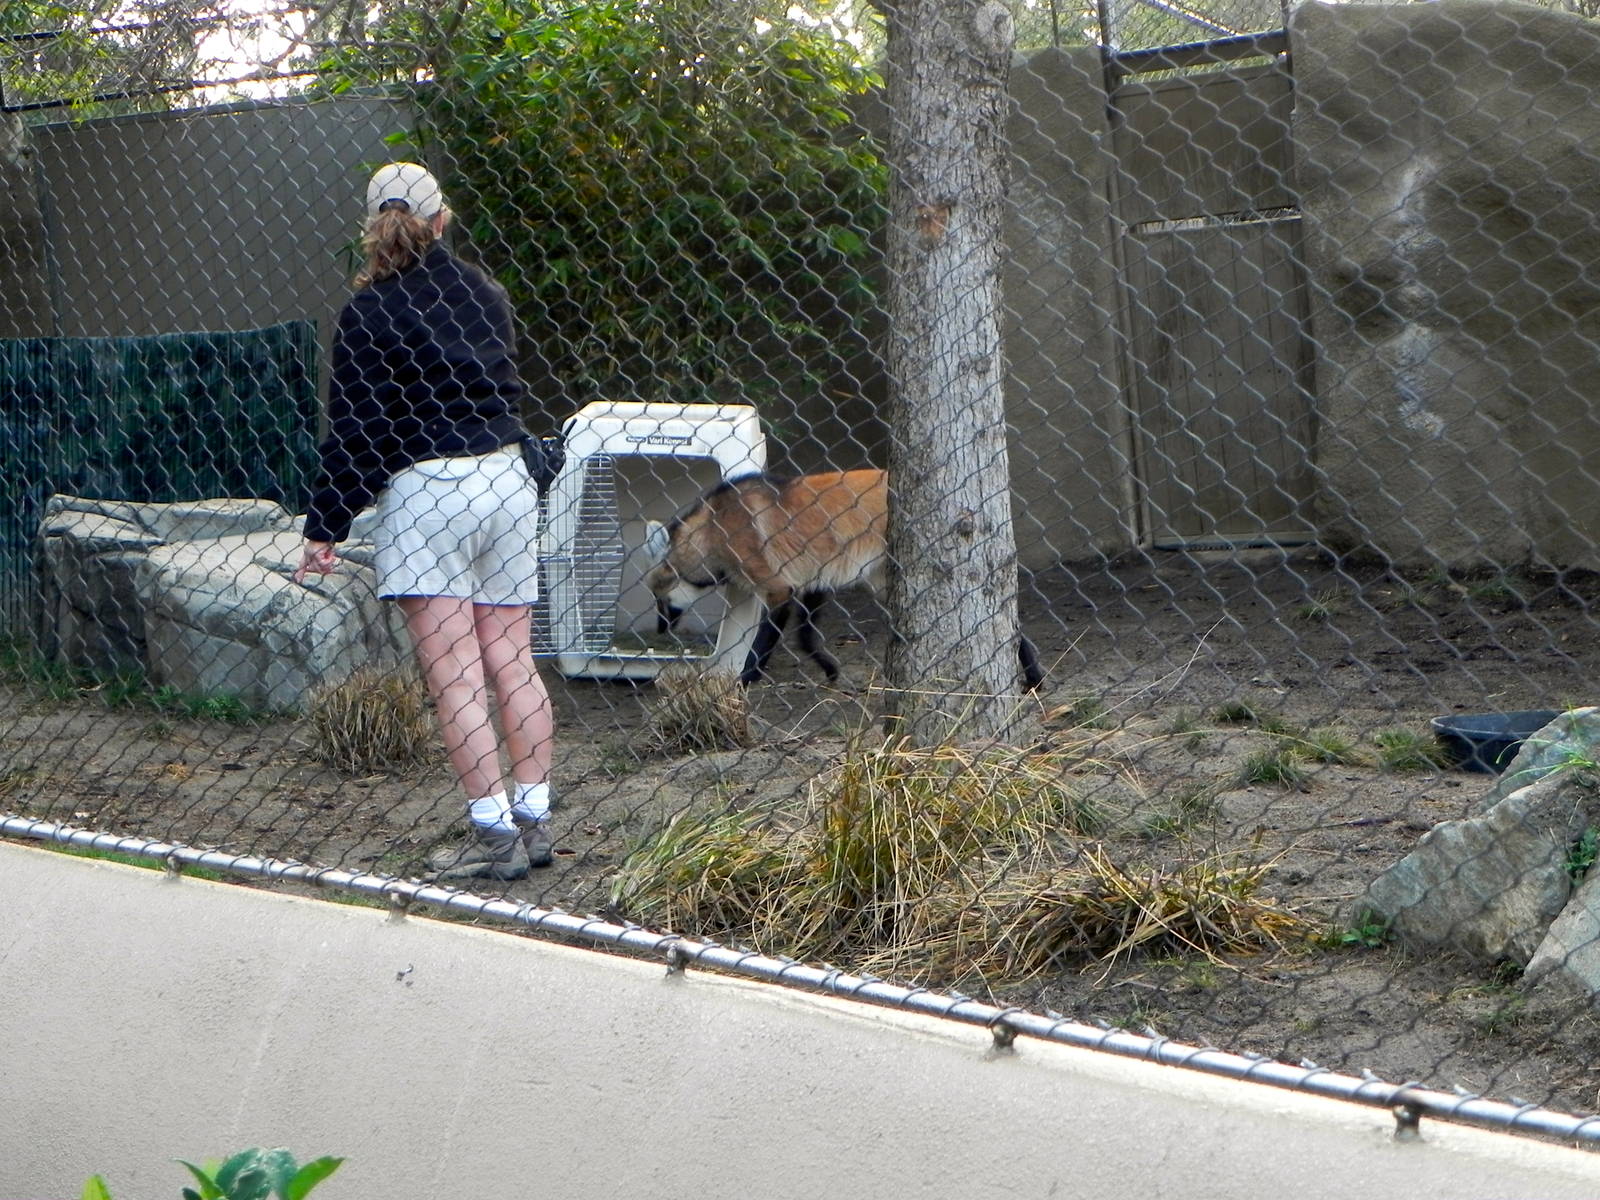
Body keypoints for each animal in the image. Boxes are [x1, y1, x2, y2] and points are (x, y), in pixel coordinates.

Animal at [644, 469, 1044, 689]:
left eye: (660, 602)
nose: (660, 630)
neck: (714, 533)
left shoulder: (779, 588)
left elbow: (763, 645)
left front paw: (745, 680)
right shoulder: (811, 581)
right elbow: (805, 637)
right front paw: (831, 670)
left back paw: (1034, 676)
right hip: (883, 581)